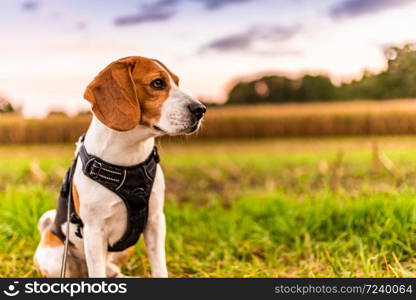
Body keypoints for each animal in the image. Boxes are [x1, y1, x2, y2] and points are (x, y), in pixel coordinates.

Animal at [33, 55, 206, 276]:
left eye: (177, 82)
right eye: (158, 83)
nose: (201, 110)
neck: (129, 158)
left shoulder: (155, 222)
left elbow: (159, 268)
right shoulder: (94, 232)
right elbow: (97, 273)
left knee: (111, 269)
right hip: (56, 258)